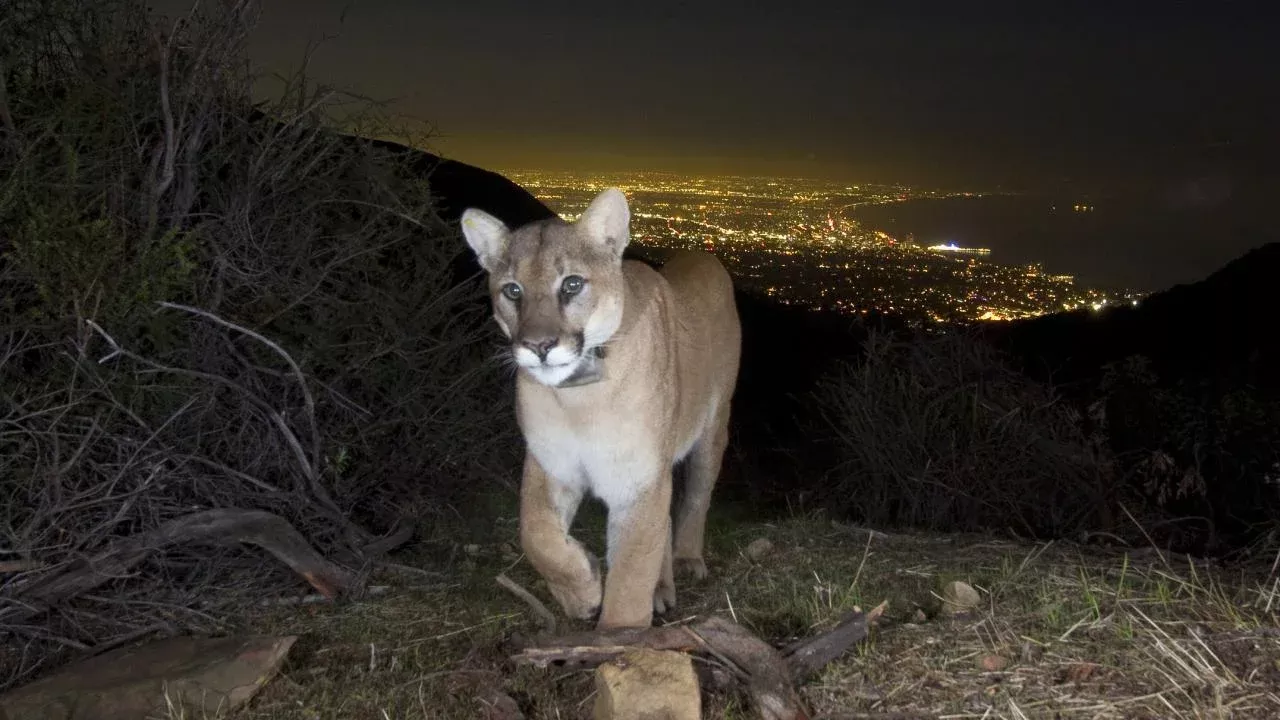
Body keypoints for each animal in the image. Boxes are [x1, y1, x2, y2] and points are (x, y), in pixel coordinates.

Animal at [460, 188, 742, 625]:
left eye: (572, 284)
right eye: (513, 291)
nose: (539, 346)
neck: (579, 399)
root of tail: (702, 255)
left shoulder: (637, 479)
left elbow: (629, 578)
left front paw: (619, 632)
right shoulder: (551, 462)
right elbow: (534, 532)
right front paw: (582, 589)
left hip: (713, 429)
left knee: (697, 496)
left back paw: (686, 561)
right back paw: (660, 587)